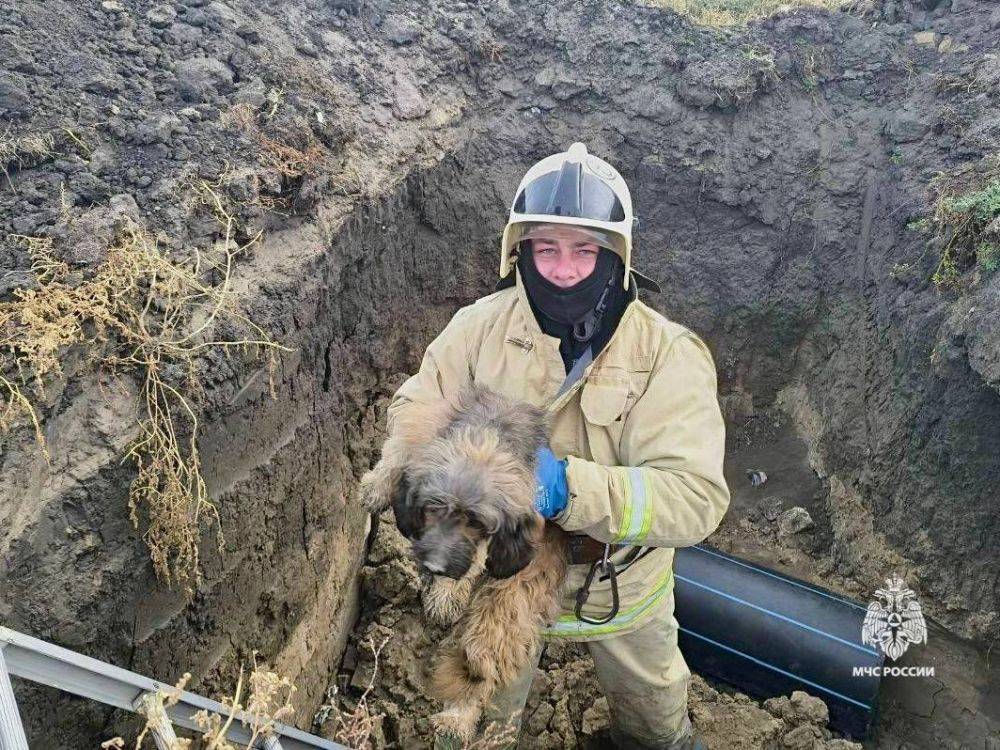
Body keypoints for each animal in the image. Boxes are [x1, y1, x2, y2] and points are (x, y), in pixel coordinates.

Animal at [364, 384, 572, 744]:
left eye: (477, 522)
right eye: (434, 507)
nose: (435, 566)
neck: (488, 435)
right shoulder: (426, 422)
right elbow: (401, 447)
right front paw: (376, 486)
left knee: (487, 648)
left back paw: (460, 710)